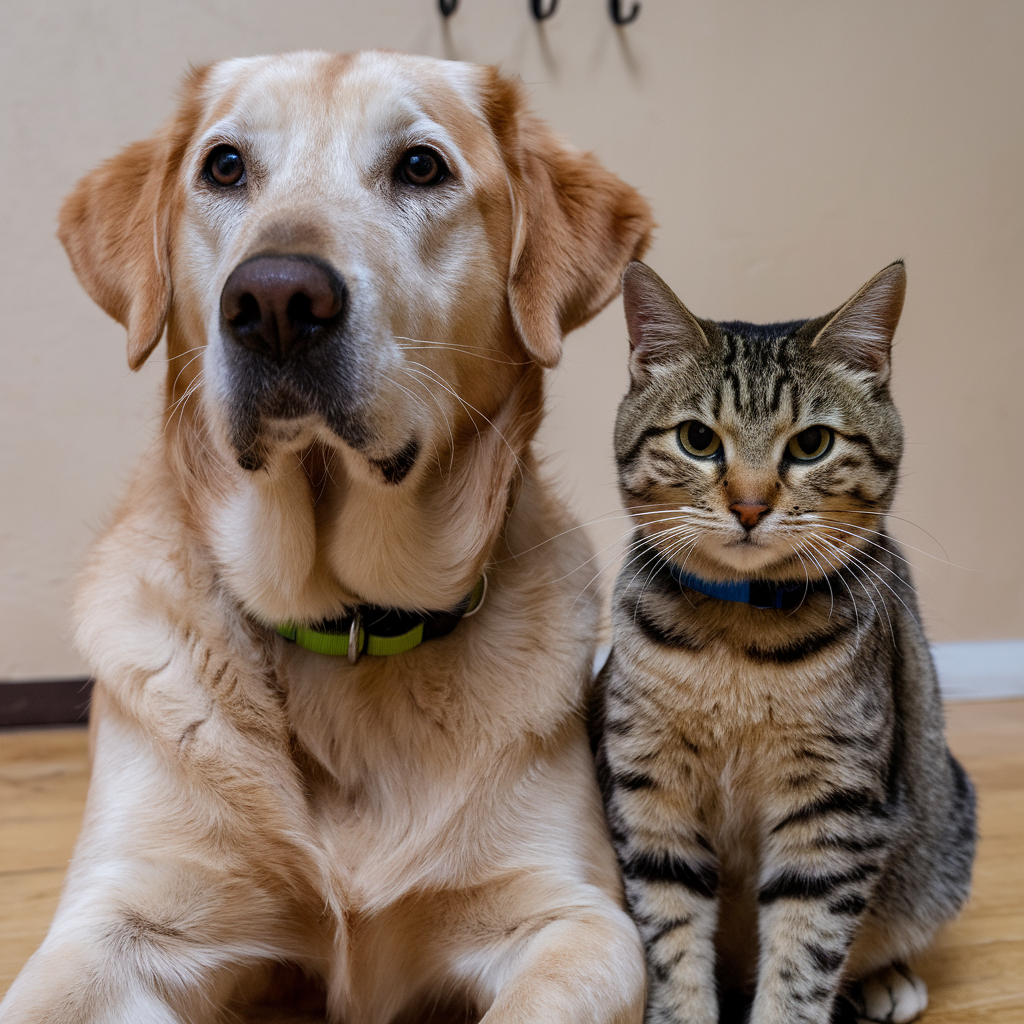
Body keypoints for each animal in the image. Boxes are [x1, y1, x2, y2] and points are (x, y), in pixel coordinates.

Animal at [0, 51, 655, 1024]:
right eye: (224, 166)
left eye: (421, 166)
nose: (275, 300)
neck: (341, 621)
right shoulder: (112, 921)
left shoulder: (576, 919)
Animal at [589, 262, 970, 1024]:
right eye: (698, 439)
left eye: (811, 445)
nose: (749, 505)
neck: (739, 641)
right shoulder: (650, 794)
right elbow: (672, 942)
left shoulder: (834, 808)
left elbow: (803, 956)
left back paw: (885, 979)